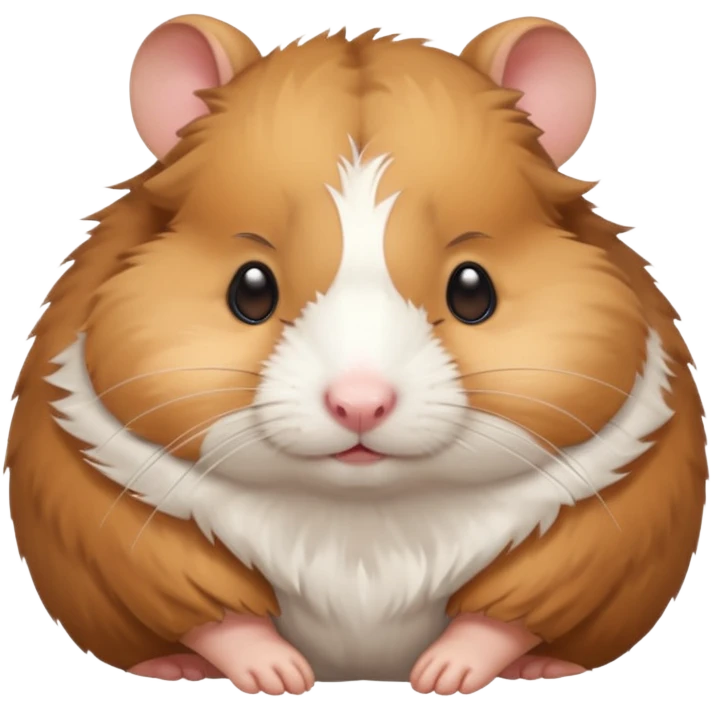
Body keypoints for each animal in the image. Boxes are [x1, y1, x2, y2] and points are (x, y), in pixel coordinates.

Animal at [5, 14, 707, 696]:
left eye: (473, 290)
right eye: (250, 289)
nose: (360, 406)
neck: (364, 526)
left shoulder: (606, 520)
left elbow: (506, 611)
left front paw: (441, 677)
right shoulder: (112, 512)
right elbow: (214, 609)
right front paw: (281, 678)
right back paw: (178, 669)